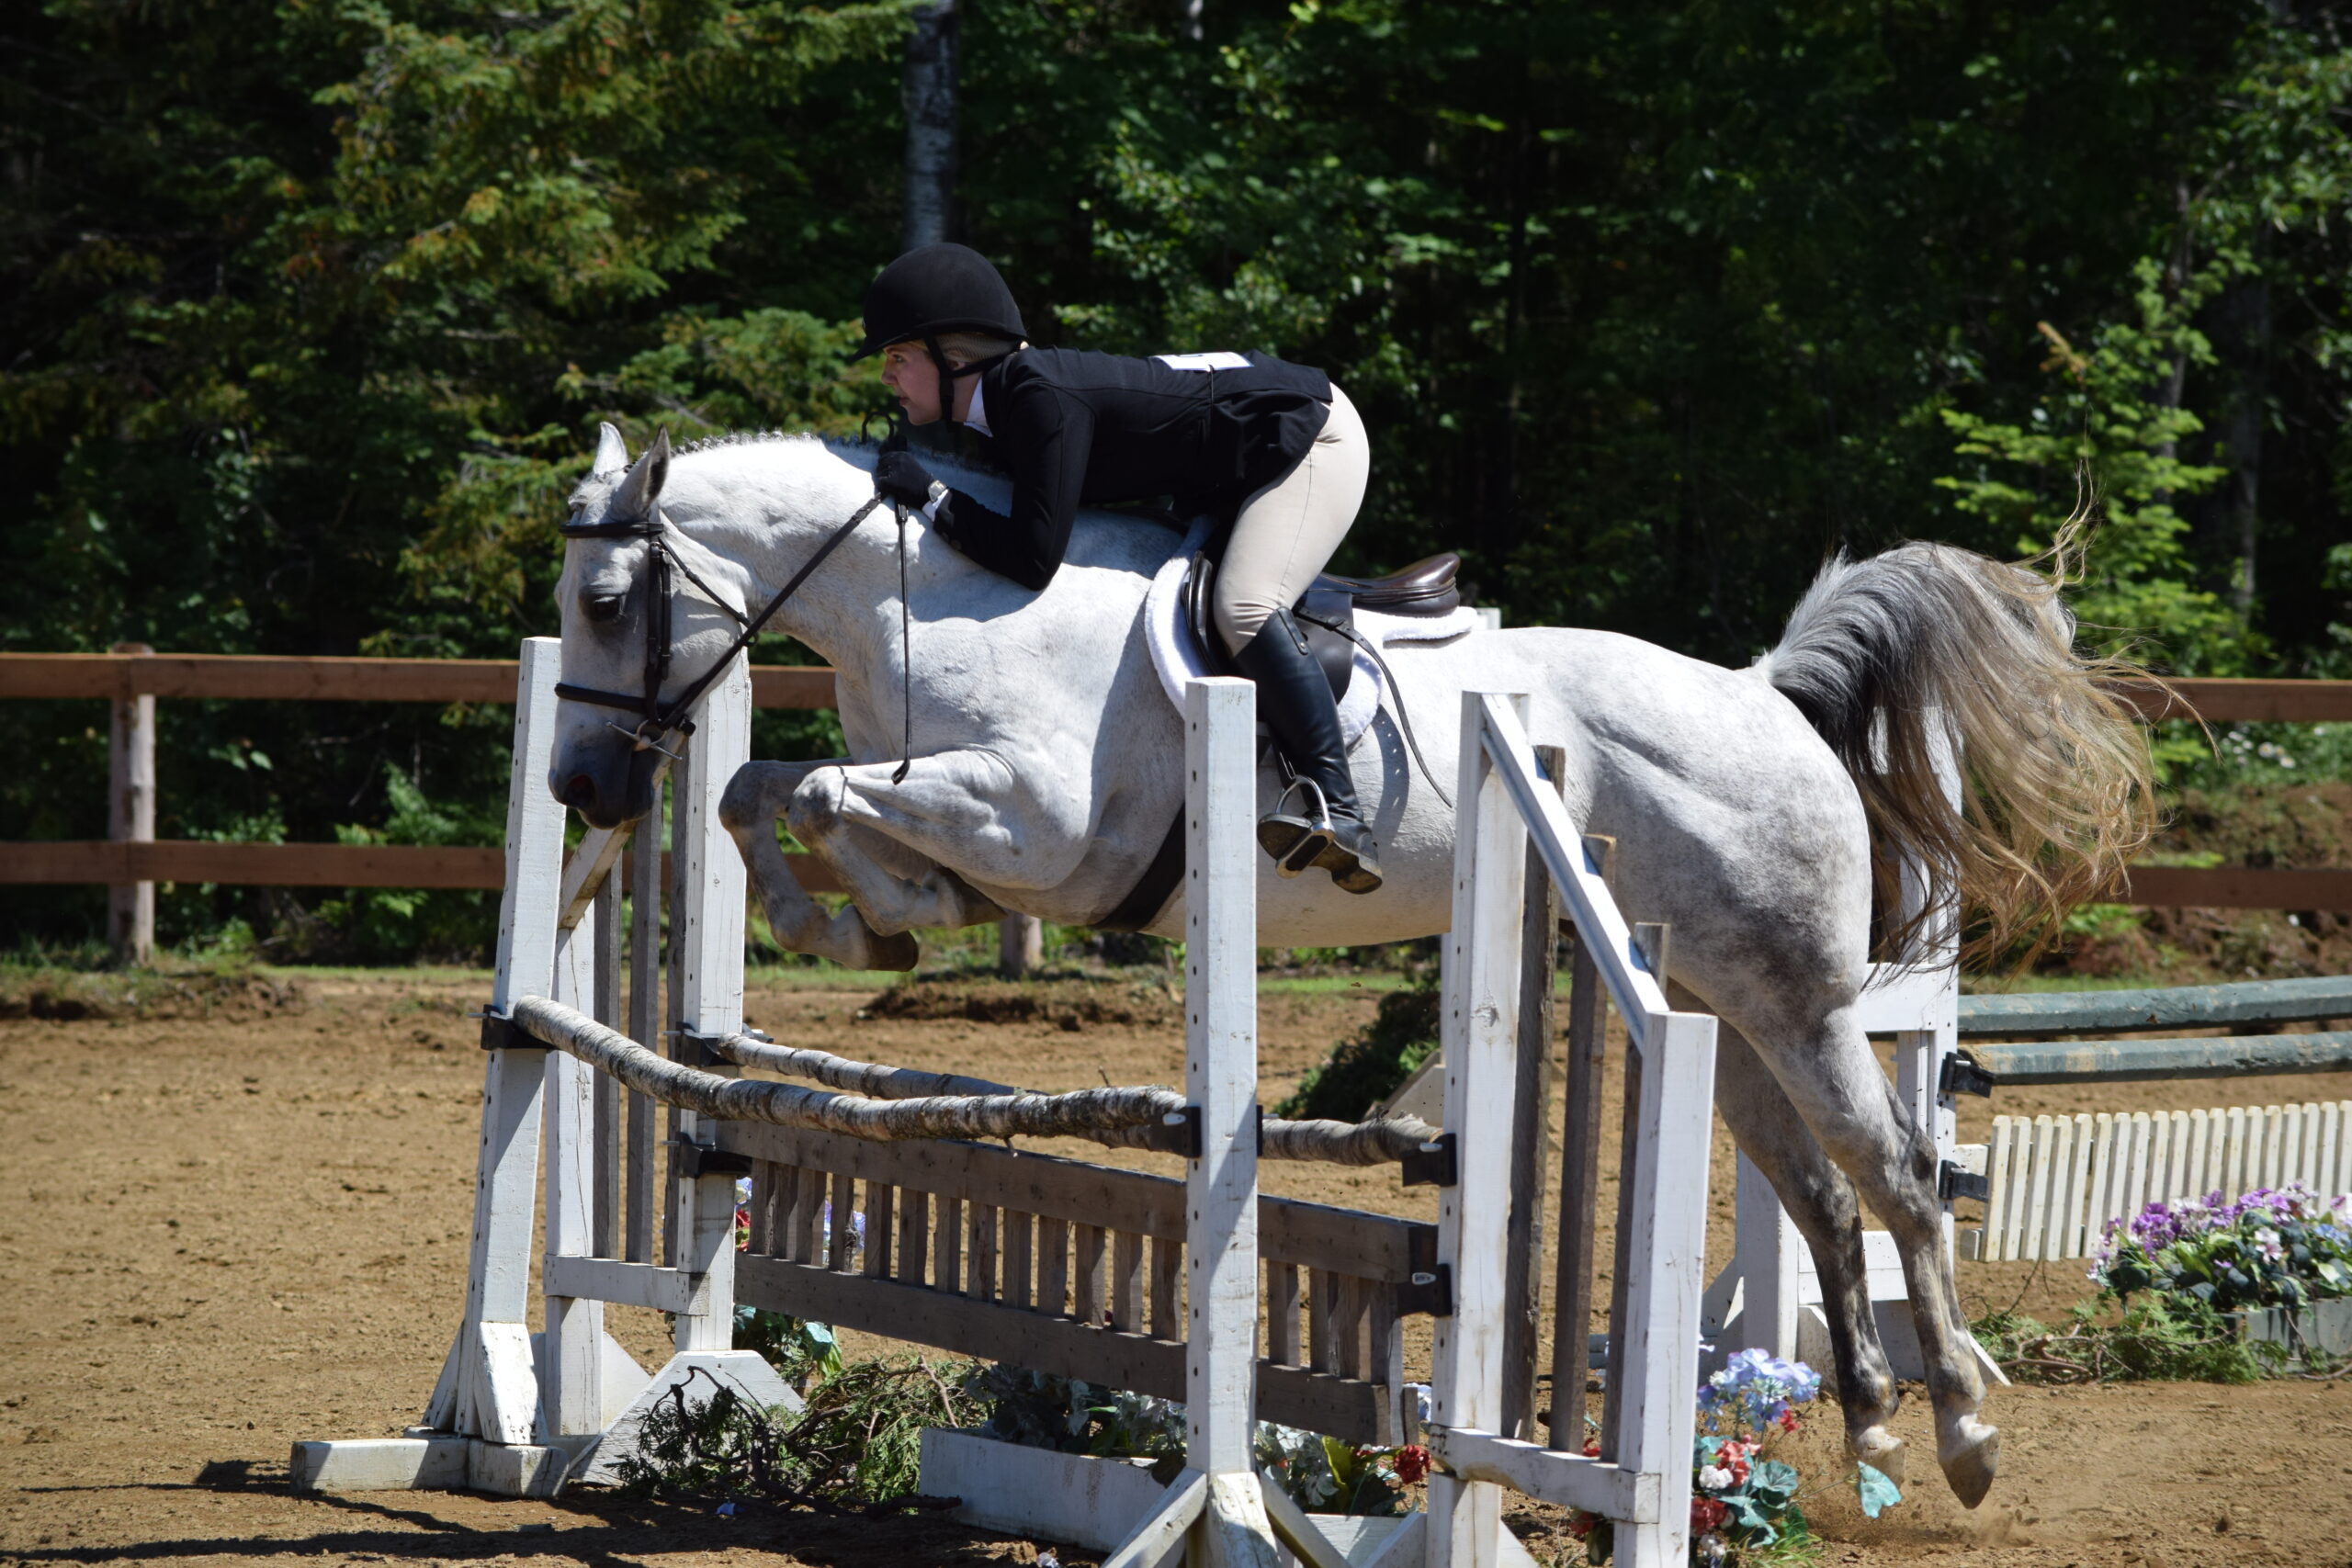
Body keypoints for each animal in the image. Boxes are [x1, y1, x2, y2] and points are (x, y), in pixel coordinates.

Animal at [545, 421, 2154, 1504]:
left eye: (609, 603)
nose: (581, 786)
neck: (924, 594)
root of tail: (1765, 695)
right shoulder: (963, 810)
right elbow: (763, 790)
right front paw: (851, 919)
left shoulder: (1042, 827)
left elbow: (823, 794)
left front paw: (867, 908)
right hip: (1716, 998)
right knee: (1820, 1189)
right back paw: (1876, 1416)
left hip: (1798, 998)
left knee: (1899, 1178)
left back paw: (1963, 1428)